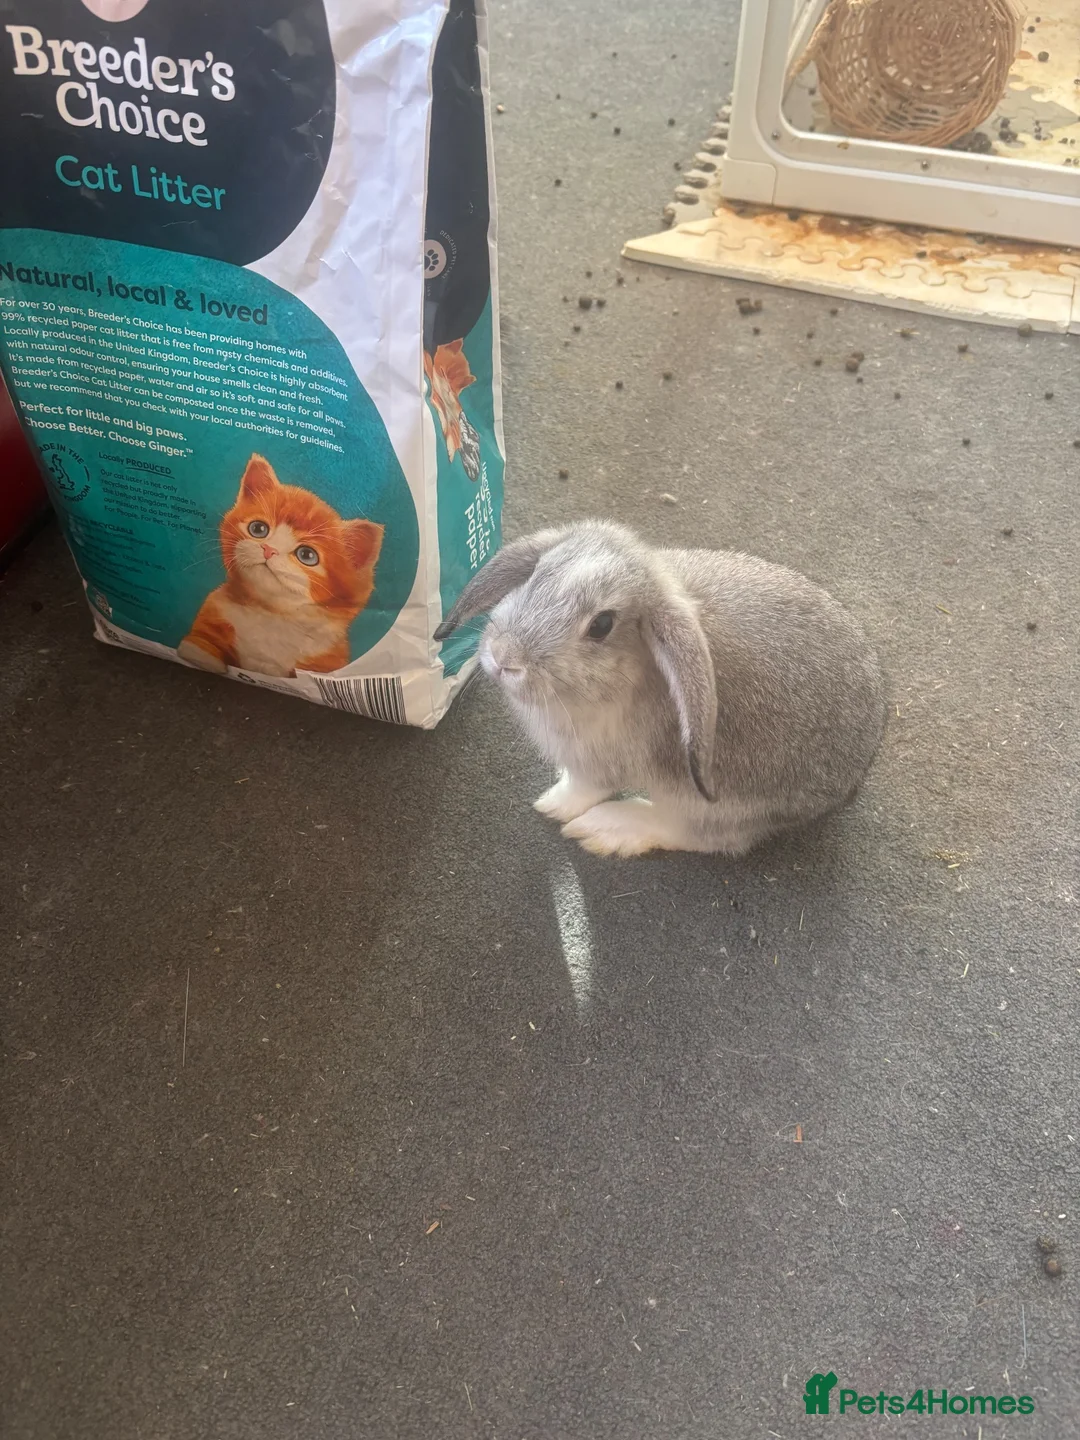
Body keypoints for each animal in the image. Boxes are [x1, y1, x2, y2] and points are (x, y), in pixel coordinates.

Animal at [435, 521, 886, 858]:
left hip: (706, 802)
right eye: (536, 574)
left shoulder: (597, 766)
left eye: (601, 625)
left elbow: (580, 790)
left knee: (692, 834)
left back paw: (606, 828)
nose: (503, 657)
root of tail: (854, 777)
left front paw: (551, 805)